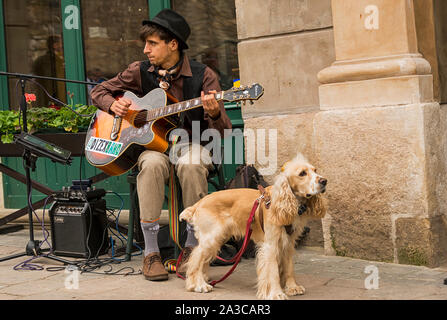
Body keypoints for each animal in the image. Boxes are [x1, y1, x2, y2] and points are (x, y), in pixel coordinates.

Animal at [179, 155, 328, 300]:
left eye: (315, 170)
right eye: (302, 173)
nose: (324, 181)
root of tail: (199, 203)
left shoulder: (288, 242)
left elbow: (289, 267)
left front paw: (292, 287)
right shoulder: (270, 245)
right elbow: (273, 270)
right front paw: (276, 293)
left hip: (218, 238)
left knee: (203, 259)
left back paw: (204, 279)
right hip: (211, 236)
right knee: (195, 258)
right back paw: (198, 285)